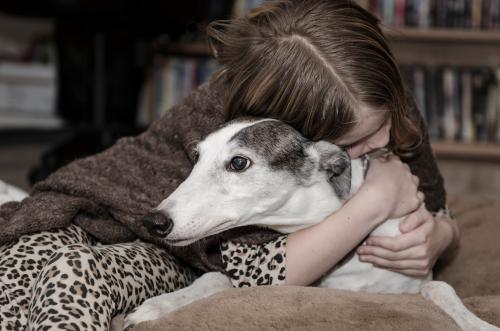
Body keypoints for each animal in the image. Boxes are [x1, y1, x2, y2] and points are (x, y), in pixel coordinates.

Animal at [123, 118, 498, 330]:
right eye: (196, 158)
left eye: (239, 162)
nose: (154, 221)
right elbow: (215, 278)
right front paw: (155, 306)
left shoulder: (417, 281)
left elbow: (440, 288)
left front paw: (479, 324)